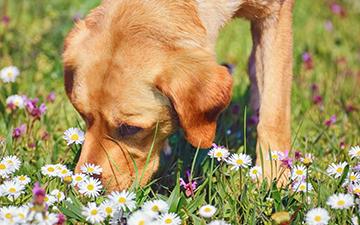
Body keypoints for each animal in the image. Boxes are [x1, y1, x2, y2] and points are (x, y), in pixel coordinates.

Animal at [63, 0, 294, 191]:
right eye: (83, 115)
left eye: (130, 128)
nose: (80, 189)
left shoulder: (275, 14)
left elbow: (274, 114)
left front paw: (274, 176)